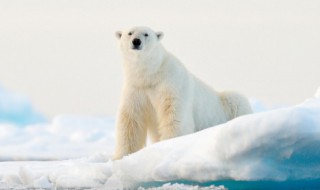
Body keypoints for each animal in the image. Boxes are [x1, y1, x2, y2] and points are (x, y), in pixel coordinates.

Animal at [112, 26, 252, 160]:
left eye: (146, 34)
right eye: (130, 33)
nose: (136, 41)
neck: (151, 75)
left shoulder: (171, 83)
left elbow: (174, 115)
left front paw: (169, 145)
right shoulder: (136, 89)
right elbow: (131, 121)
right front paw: (120, 157)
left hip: (228, 104)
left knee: (236, 100)